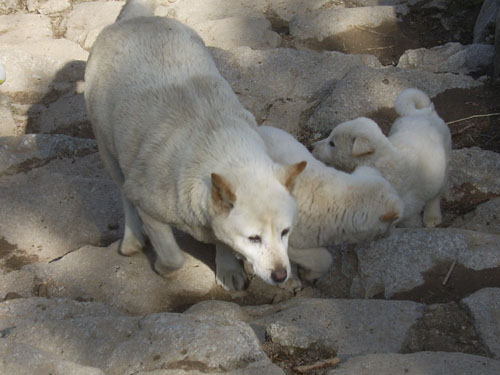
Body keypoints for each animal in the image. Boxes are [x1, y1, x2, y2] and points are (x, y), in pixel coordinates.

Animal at [84, 0, 306, 292]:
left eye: (285, 232)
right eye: (254, 239)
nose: (281, 275)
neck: (222, 150)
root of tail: (134, 19)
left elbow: (222, 239)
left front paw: (228, 268)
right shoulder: (149, 206)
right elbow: (173, 255)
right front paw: (163, 269)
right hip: (107, 148)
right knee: (123, 192)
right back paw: (132, 238)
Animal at [312, 89, 450, 229]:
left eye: (332, 143)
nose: (312, 146)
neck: (377, 161)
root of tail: (428, 113)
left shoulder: (409, 211)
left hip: (444, 163)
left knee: (436, 195)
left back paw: (432, 217)